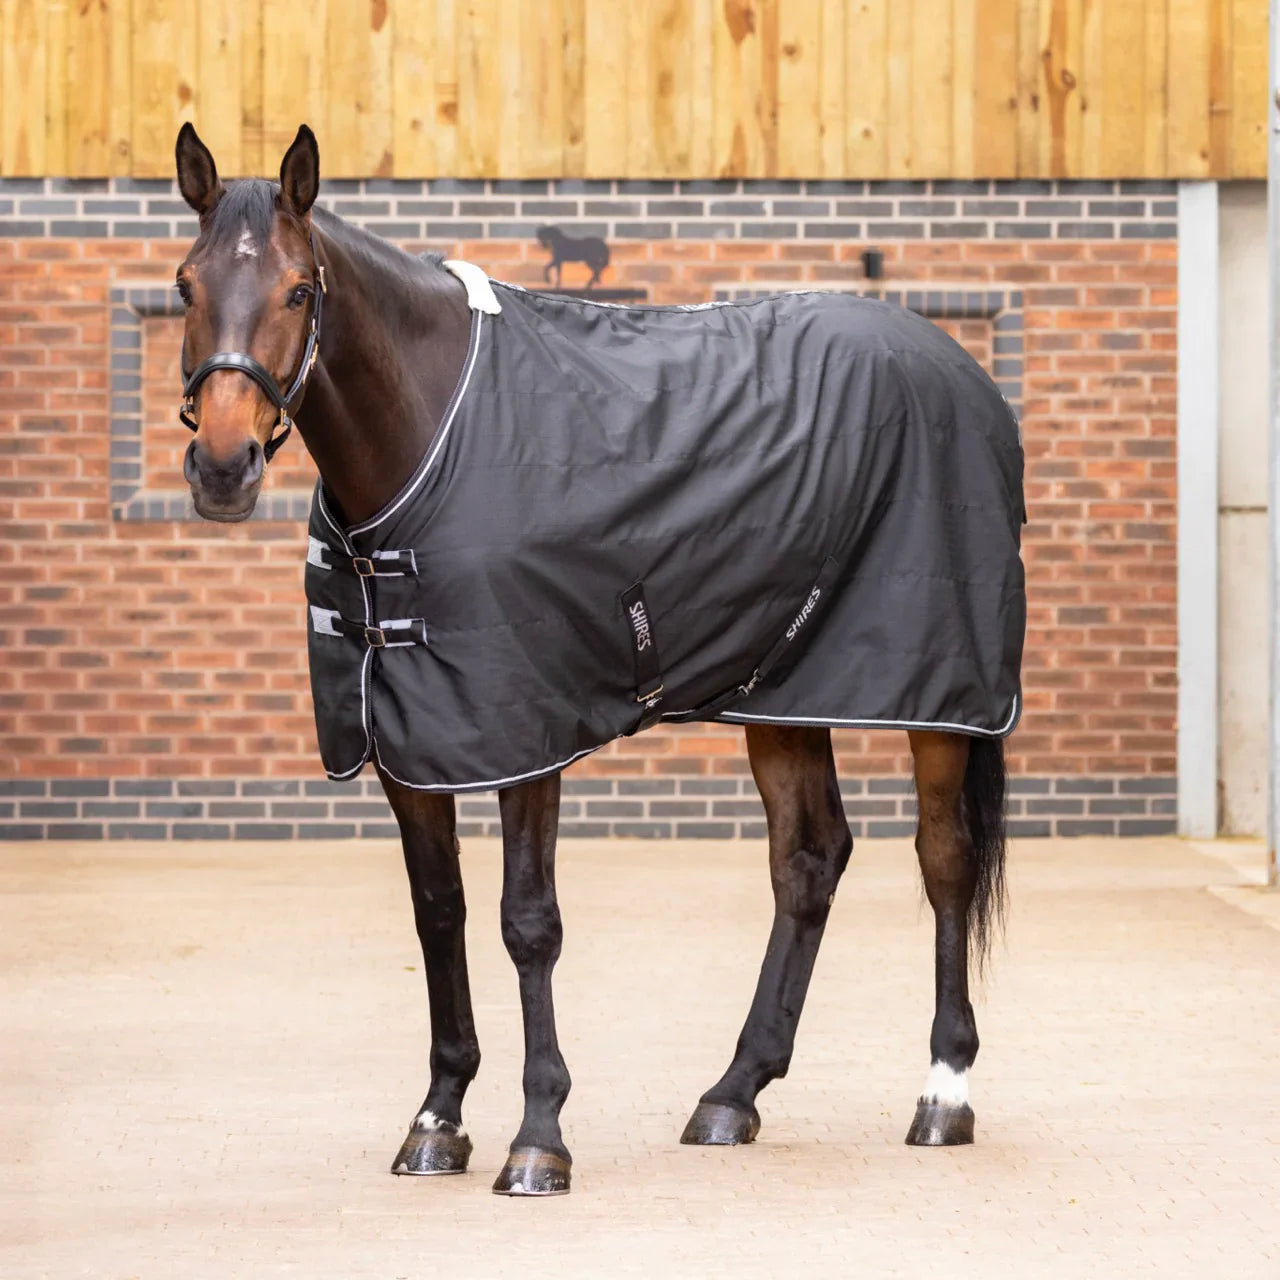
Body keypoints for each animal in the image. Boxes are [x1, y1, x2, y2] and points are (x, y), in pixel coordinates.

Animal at [172, 123, 1023, 1197]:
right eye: (186, 284)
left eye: (296, 290)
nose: (223, 468)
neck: (431, 438)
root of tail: (962, 372)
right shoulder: (406, 737)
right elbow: (439, 913)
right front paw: (438, 1119)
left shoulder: (522, 732)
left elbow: (526, 921)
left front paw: (538, 1138)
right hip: (783, 690)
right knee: (808, 862)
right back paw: (733, 1094)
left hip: (937, 696)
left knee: (944, 859)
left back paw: (943, 1094)